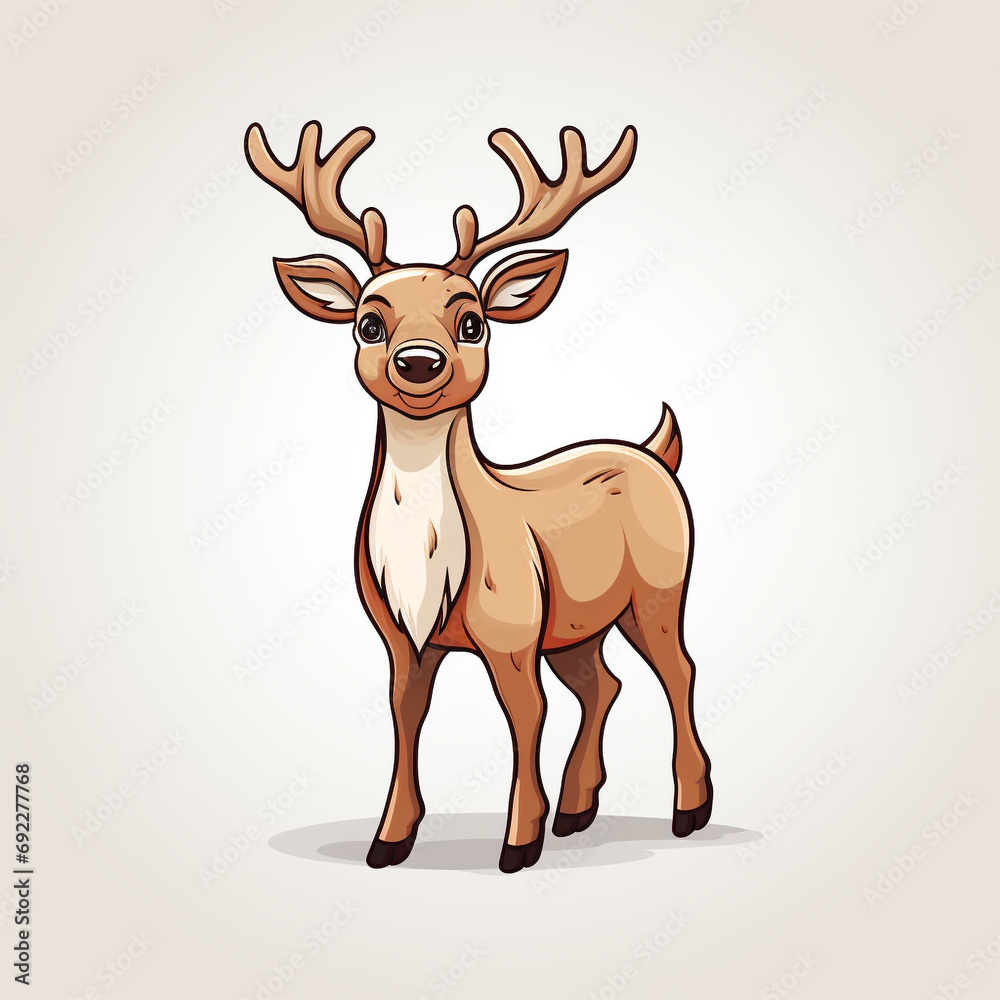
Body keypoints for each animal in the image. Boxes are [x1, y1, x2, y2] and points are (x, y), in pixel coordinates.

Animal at [244, 120, 713, 873]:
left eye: (472, 322)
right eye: (369, 322)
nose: (418, 362)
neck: (429, 568)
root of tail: (655, 451)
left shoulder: (513, 629)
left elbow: (527, 716)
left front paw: (518, 844)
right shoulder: (401, 637)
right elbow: (406, 716)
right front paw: (389, 840)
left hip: (659, 589)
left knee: (680, 671)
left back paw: (688, 810)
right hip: (577, 623)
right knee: (603, 683)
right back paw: (578, 811)